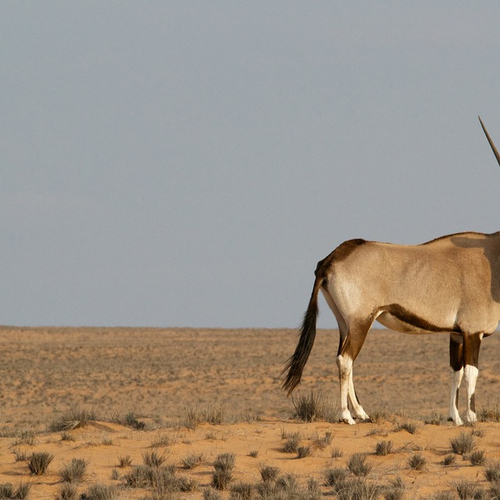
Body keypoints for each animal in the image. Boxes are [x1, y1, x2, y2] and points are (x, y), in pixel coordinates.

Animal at [284, 117, 500, 426]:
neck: (492, 255)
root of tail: (331, 258)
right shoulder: (473, 332)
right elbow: (472, 374)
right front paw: (471, 418)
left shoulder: (456, 334)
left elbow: (455, 373)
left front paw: (455, 418)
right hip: (361, 321)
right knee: (345, 359)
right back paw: (347, 416)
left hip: (345, 322)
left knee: (344, 358)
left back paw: (362, 412)